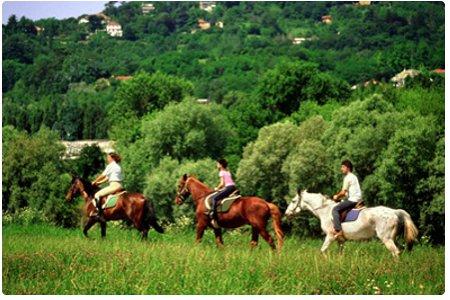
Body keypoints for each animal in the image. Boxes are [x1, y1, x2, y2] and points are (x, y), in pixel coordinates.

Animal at [284, 191, 418, 256]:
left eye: (293, 201)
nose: (286, 213)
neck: (325, 211)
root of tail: (395, 212)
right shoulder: (340, 240)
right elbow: (340, 254)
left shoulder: (330, 236)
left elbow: (322, 250)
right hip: (393, 238)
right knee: (401, 250)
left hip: (386, 238)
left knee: (396, 252)